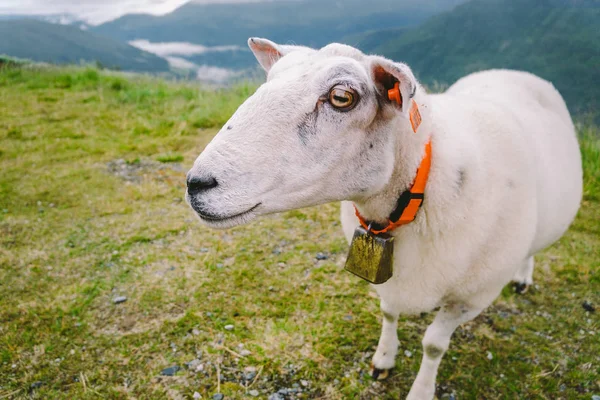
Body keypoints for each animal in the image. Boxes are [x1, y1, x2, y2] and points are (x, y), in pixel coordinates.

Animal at [185, 36, 584, 396]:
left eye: (342, 97)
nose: (195, 184)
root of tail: (513, 72)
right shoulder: (388, 277)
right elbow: (389, 312)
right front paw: (383, 360)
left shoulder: (470, 298)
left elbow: (434, 345)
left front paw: (421, 390)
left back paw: (523, 277)